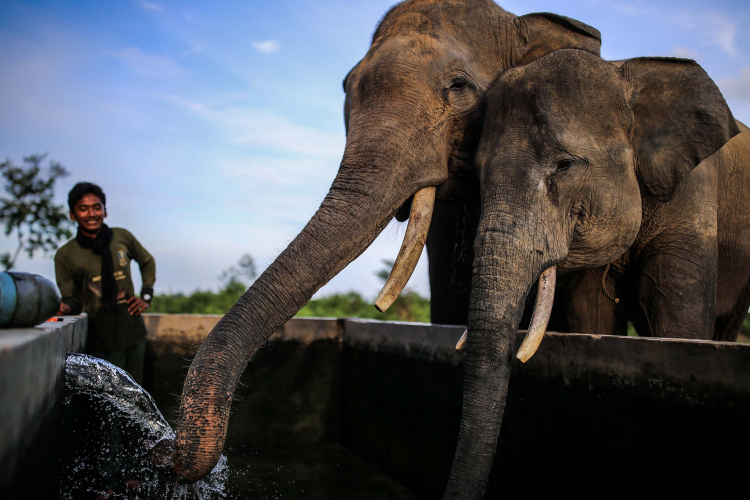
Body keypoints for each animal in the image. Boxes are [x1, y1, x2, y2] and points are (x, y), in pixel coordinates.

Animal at [455, 48, 744, 497]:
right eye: (478, 172)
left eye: (565, 165)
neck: (622, 73)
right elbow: (592, 316)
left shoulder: (695, 193)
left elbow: (677, 317)